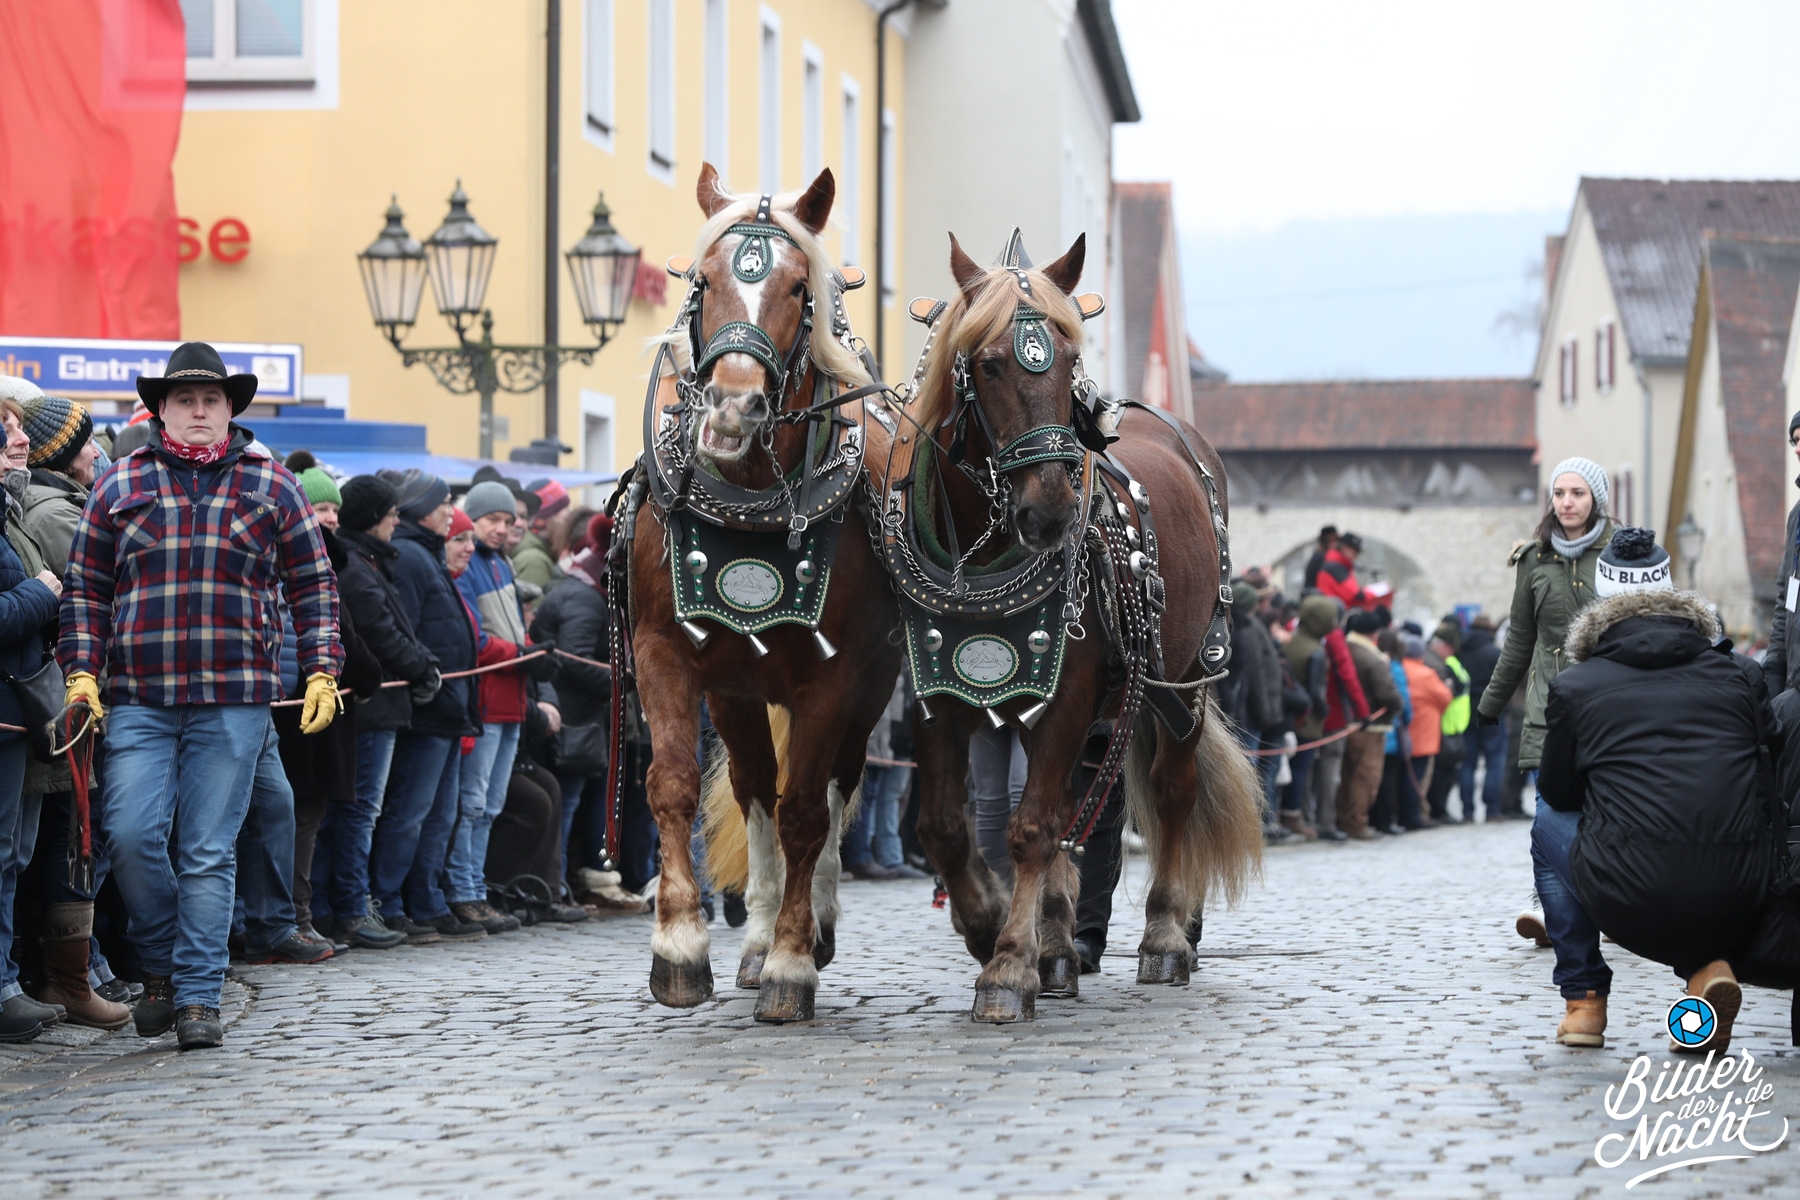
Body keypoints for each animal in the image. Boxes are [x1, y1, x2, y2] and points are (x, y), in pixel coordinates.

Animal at [611, 164, 901, 1022]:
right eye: (703, 281)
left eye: (798, 285)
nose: (734, 407)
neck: (749, 501)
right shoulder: (667, 655)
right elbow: (674, 786)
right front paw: (681, 947)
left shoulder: (831, 677)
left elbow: (808, 811)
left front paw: (794, 962)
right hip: (738, 689)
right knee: (754, 790)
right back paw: (759, 932)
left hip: (866, 691)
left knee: (832, 789)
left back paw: (809, 925)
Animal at [862, 231, 1264, 1023]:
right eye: (988, 363)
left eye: (1069, 357)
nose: (1047, 512)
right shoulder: (942, 695)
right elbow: (952, 826)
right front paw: (995, 930)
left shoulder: (1068, 694)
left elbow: (1033, 829)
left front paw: (1008, 967)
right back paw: (1060, 946)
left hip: (1184, 680)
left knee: (1170, 793)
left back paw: (1166, 936)